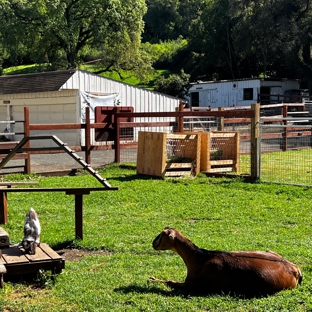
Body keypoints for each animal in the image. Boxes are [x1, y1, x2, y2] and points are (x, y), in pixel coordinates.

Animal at [151, 227, 302, 298]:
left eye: (162, 235)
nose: (153, 243)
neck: (199, 257)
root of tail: (294, 268)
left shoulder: (193, 284)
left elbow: (170, 282)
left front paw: (152, 279)